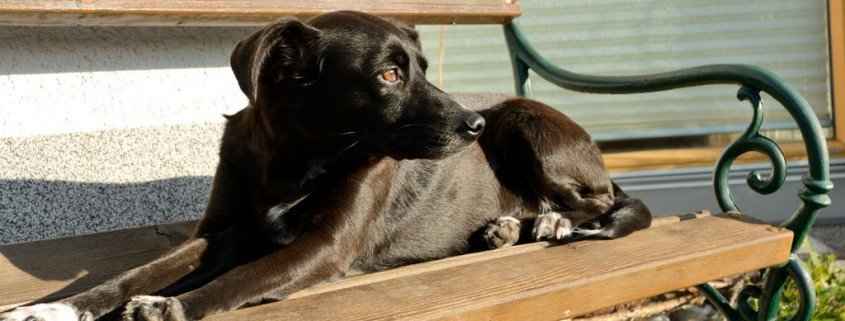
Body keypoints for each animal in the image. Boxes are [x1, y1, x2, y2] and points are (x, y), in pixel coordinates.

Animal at [0, 10, 648, 320]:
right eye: (388, 74)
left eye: (421, 68)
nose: (473, 127)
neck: (298, 155)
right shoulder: (221, 232)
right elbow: (132, 274)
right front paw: (55, 306)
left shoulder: (325, 247)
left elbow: (243, 278)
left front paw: (171, 306)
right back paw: (506, 228)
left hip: (525, 126)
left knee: (601, 200)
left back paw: (552, 221)